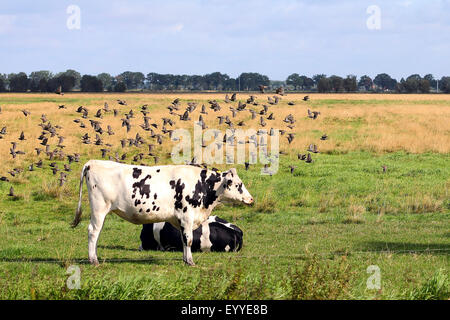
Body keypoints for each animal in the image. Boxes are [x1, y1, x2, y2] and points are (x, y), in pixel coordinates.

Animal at [71, 161, 253, 266]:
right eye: (239, 184)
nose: (251, 199)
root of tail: (92, 163)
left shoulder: (180, 220)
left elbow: (184, 239)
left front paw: (185, 259)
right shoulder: (187, 216)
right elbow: (188, 240)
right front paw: (190, 262)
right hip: (99, 208)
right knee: (93, 232)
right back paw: (93, 260)